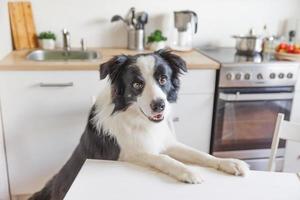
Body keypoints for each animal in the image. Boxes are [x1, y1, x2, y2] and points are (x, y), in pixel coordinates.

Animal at [29, 49, 248, 199]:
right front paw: (188, 171)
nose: (159, 105)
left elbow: (200, 154)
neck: (137, 118)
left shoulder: (167, 142)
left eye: (163, 79)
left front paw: (230, 163)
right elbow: (164, 159)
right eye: (137, 84)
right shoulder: (129, 153)